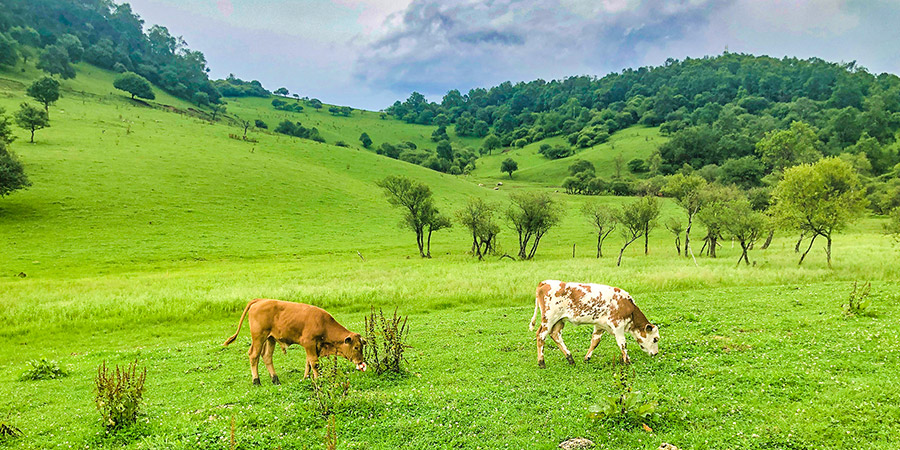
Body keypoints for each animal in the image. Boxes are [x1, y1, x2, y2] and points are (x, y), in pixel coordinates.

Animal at [223, 298, 368, 384]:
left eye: (362, 346)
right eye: (356, 347)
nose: (360, 361)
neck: (323, 323)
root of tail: (261, 300)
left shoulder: (314, 347)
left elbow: (308, 363)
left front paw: (306, 378)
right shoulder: (309, 343)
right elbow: (314, 363)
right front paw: (317, 379)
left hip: (270, 339)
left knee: (267, 356)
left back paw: (275, 379)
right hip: (259, 337)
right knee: (254, 355)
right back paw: (256, 380)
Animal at [528, 280, 660, 368]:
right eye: (655, 339)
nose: (656, 353)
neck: (627, 306)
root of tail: (545, 282)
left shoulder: (600, 325)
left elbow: (595, 342)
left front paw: (587, 358)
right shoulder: (617, 325)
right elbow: (622, 343)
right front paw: (627, 360)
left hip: (559, 320)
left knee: (555, 335)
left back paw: (570, 358)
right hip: (549, 319)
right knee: (541, 336)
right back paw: (541, 362)